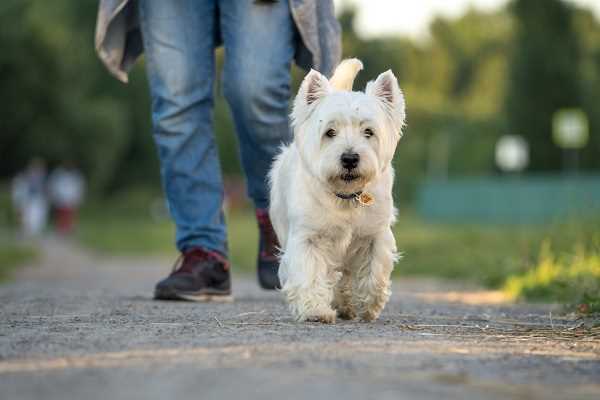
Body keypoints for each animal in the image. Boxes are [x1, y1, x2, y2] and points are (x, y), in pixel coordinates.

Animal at [270, 58, 406, 322]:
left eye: (369, 132)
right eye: (330, 132)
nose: (350, 158)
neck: (345, 196)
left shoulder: (374, 234)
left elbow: (374, 272)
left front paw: (369, 305)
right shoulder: (308, 237)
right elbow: (310, 273)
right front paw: (315, 310)